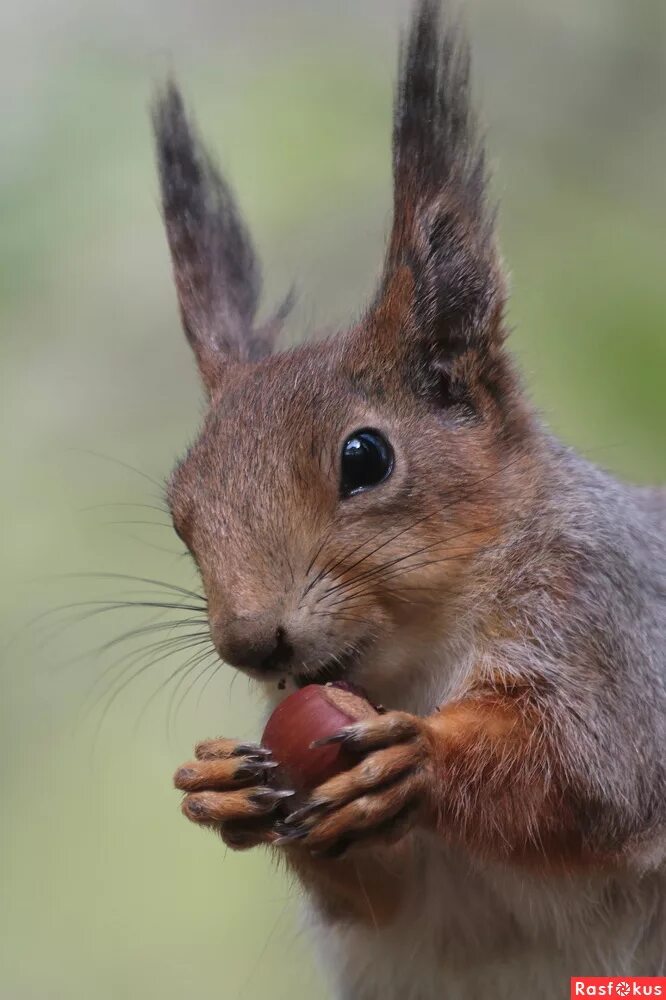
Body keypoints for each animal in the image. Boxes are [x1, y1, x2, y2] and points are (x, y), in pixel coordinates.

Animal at [152, 0, 664, 996]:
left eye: (366, 456)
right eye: (180, 513)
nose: (249, 642)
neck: (418, 660)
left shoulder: (608, 624)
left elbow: (595, 767)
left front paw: (419, 757)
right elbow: (382, 895)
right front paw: (224, 787)